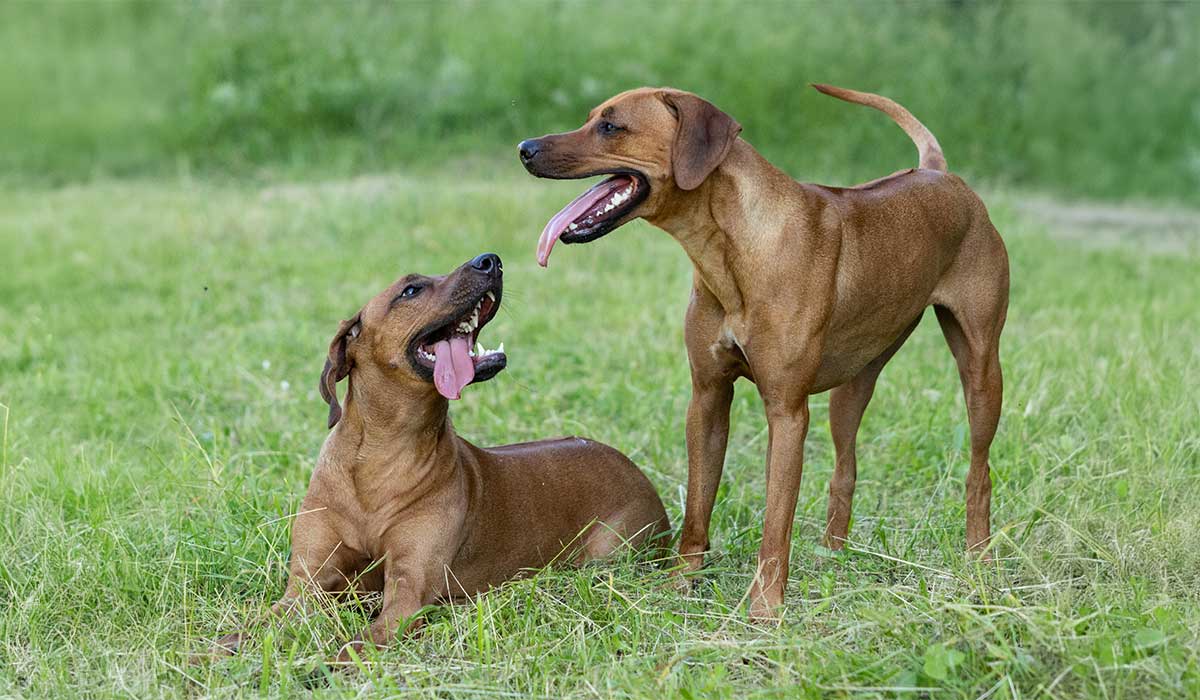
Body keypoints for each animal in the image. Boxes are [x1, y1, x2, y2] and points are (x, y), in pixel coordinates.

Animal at [210, 253, 672, 662]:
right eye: (411, 289)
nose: (491, 260)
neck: (381, 458)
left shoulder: (408, 594)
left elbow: (353, 646)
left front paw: (320, 668)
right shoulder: (306, 587)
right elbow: (252, 628)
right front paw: (210, 655)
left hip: (611, 552)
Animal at [520, 84, 1008, 619]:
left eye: (611, 126)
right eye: (591, 118)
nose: (525, 148)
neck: (732, 250)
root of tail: (938, 172)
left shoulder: (787, 412)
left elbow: (776, 524)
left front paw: (765, 609)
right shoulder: (707, 398)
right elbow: (698, 506)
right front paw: (681, 585)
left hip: (982, 370)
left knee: (979, 470)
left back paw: (980, 559)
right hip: (855, 381)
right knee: (845, 470)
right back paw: (833, 556)